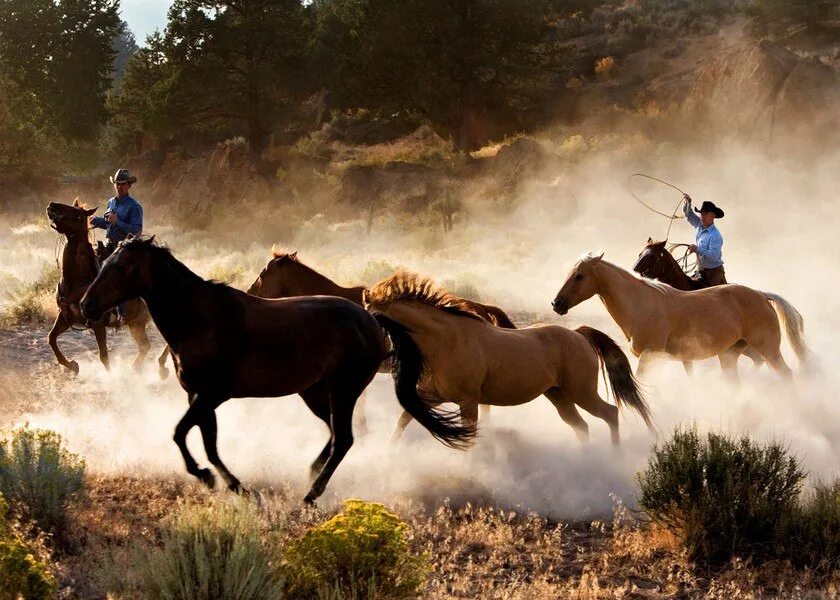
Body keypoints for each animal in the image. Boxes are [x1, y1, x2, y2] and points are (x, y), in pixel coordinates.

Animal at [46, 199, 158, 372]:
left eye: (77, 213)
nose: (52, 205)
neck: (77, 281)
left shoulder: (98, 324)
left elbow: (104, 355)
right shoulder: (65, 317)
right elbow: (51, 338)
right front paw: (72, 365)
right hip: (136, 324)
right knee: (145, 346)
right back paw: (135, 369)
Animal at [78, 237, 472, 504]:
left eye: (119, 267)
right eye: (104, 262)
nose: (86, 305)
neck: (200, 318)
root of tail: (372, 320)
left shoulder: (212, 395)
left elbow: (180, 434)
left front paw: (207, 478)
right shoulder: (200, 397)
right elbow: (209, 444)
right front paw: (234, 486)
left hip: (343, 389)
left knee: (345, 438)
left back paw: (312, 493)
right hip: (316, 392)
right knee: (335, 434)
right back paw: (310, 472)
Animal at [362, 272, 648, 446]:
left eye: (375, 321)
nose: (373, 357)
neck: (447, 342)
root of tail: (579, 334)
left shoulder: (468, 401)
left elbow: (469, 438)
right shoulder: (432, 395)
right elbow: (402, 422)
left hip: (581, 392)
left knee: (610, 413)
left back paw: (614, 457)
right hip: (558, 395)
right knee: (581, 427)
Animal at [552, 251, 808, 382]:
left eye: (579, 276)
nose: (557, 303)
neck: (641, 304)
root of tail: (762, 295)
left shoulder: (651, 356)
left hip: (768, 349)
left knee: (785, 374)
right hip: (732, 353)